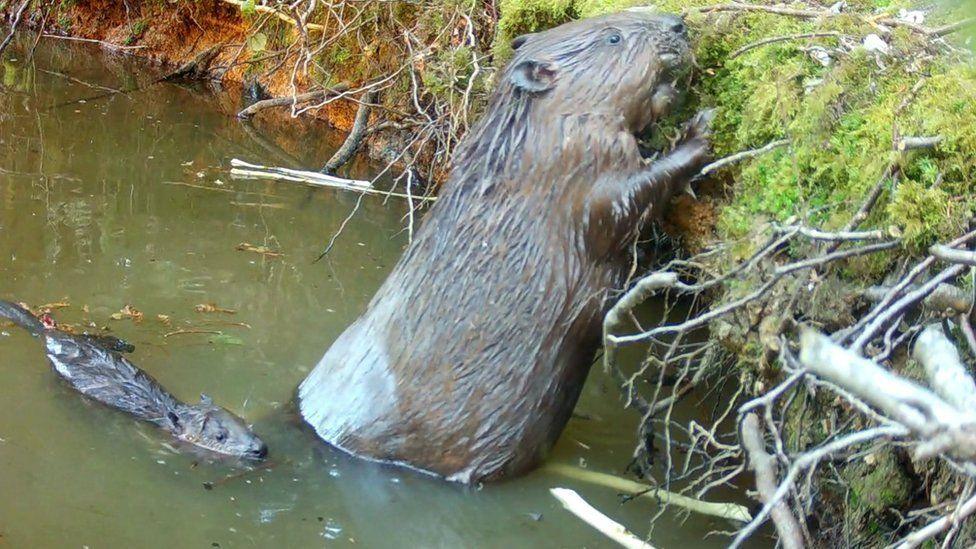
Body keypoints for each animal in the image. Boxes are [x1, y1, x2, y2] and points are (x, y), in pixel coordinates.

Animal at [0, 300, 266, 458]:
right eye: (219, 436)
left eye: (244, 422)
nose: (259, 449)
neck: (167, 408)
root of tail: (49, 333)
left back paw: (125, 344)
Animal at [298, 7, 708, 480]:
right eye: (613, 37)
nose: (678, 24)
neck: (526, 140)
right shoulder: (576, 166)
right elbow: (625, 201)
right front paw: (699, 131)